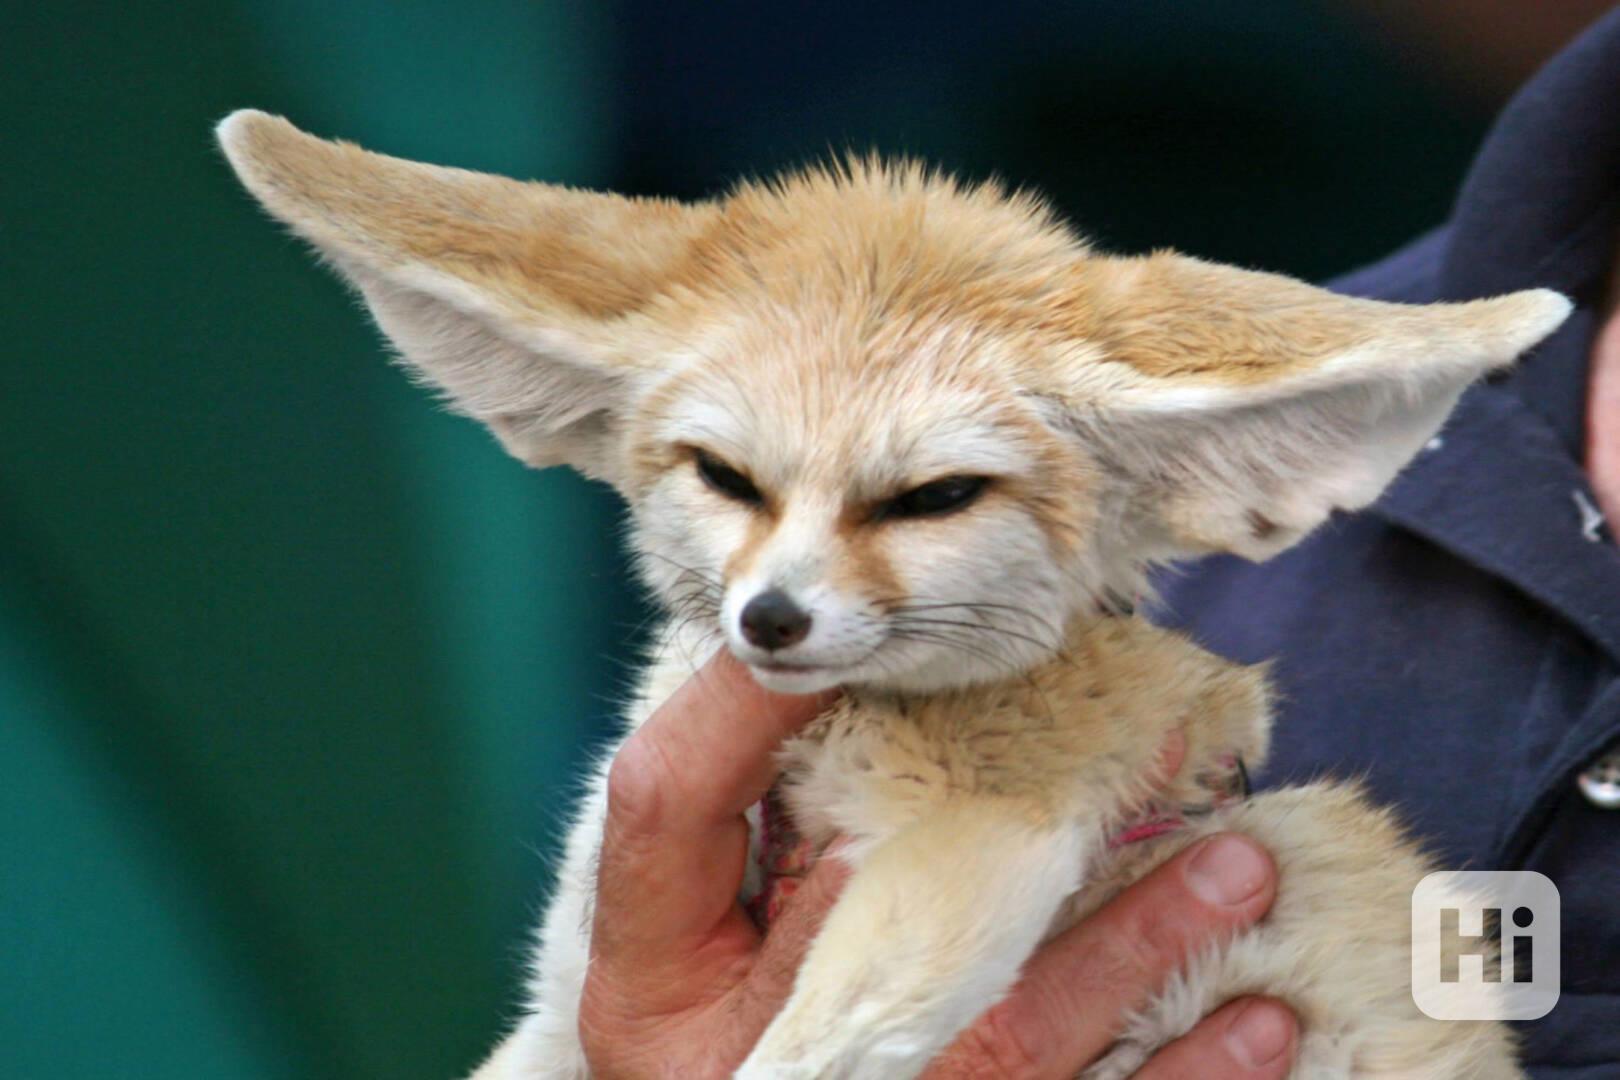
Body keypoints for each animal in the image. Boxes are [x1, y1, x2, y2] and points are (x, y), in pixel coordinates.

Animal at [218, 109, 1570, 1079]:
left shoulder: (987, 847)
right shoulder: (569, 988)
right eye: (727, 477)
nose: (771, 619)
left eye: (934, 498)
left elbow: (794, 1062)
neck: (829, 743)